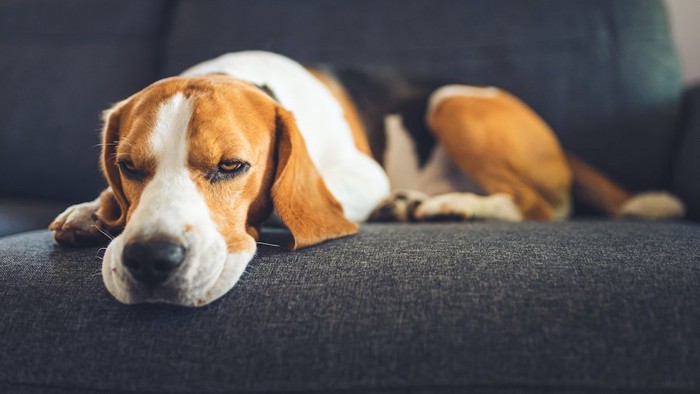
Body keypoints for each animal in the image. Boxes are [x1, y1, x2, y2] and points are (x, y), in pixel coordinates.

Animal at [52, 50, 688, 306]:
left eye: (231, 166)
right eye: (129, 167)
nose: (149, 260)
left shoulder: (362, 176)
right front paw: (93, 211)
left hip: (452, 105)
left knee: (543, 206)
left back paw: (452, 205)